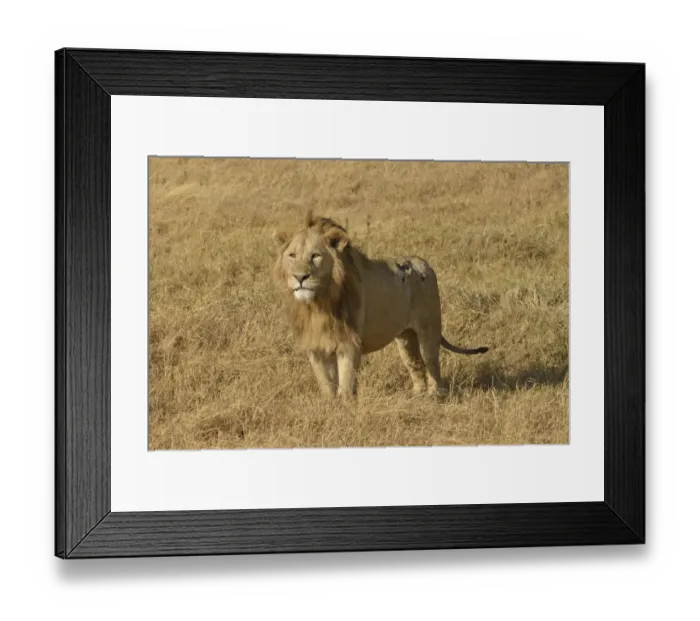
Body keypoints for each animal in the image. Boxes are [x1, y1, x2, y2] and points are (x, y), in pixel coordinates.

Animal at [272, 212, 489, 398]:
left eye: (315, 256)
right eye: (292, 256)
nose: (300, 277)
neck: (318, 304)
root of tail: (425, 264)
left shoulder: (349, 343)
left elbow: (346, 383)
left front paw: (345, 407)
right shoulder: (316, 346)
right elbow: (326, 383)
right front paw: (329, 405)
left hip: (429, 328)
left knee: (432, 363)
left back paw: (435, 395)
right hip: (405, 337)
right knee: (415, 364)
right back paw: (416, 395)